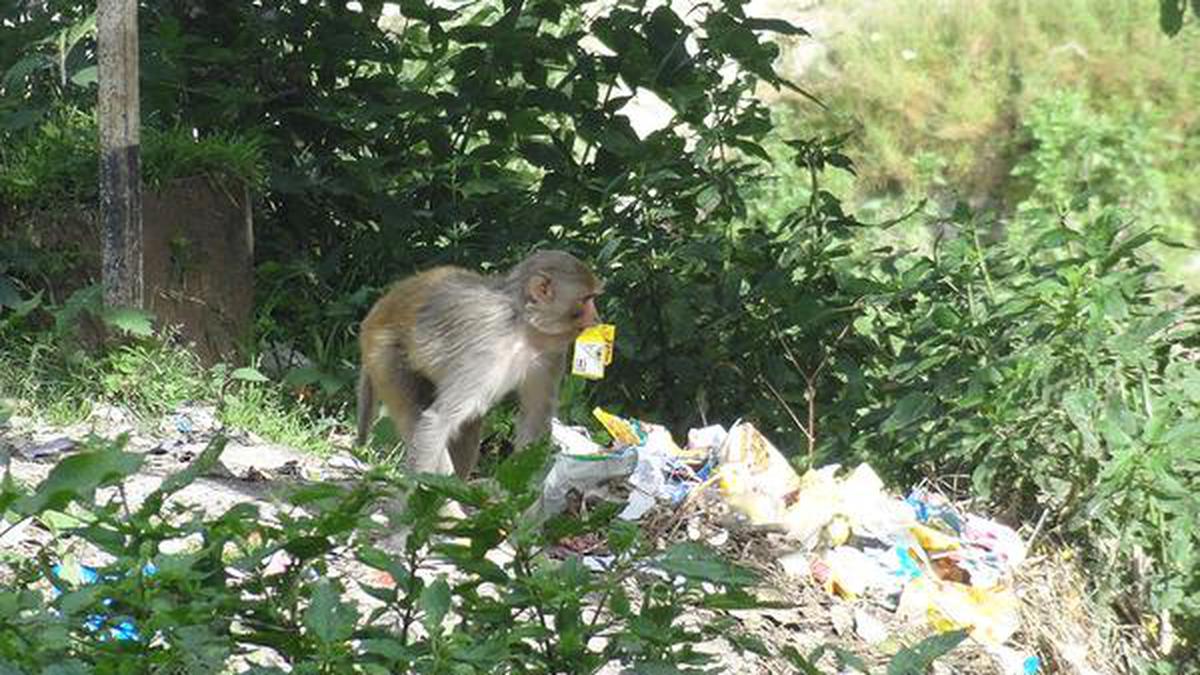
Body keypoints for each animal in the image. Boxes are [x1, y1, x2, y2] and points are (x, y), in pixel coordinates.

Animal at [352, 247, 600, 487]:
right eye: (586, 299)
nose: (596, 318)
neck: (521, 327)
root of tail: (377, 313)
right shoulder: (484, 349)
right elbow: (437, 421)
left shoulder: (550, 352)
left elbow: (535, 419)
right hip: (385, 356)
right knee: (420, 417)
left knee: (468, 426)